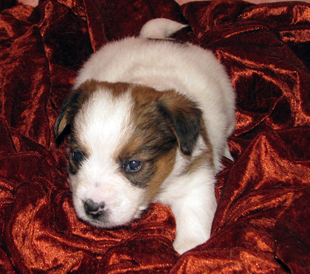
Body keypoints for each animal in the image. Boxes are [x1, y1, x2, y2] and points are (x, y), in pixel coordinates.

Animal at [55, 18, 235, 255]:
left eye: (133, 165)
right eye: (77, 156)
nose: (92, 208)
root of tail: (153, 37)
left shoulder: (196, 180)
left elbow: (193, 223)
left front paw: (187, 251)